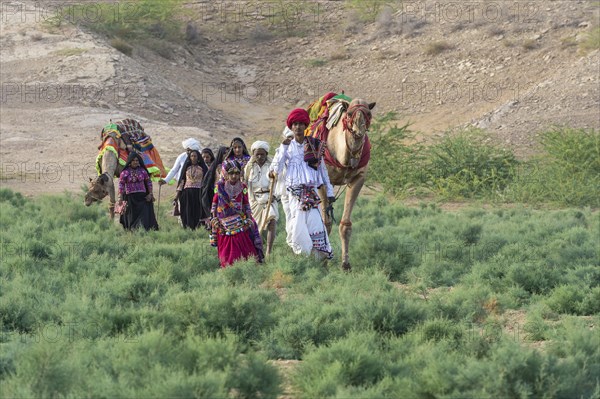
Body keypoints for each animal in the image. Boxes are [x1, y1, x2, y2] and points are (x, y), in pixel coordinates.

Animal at [318, 98, 376, 270]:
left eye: (368, 113)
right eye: (349, 114)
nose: (358, 130)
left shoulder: (358, 178)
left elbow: (346, 225)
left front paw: (345, 264)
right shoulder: (322, 180)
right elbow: (326, 222)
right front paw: (323, 260)